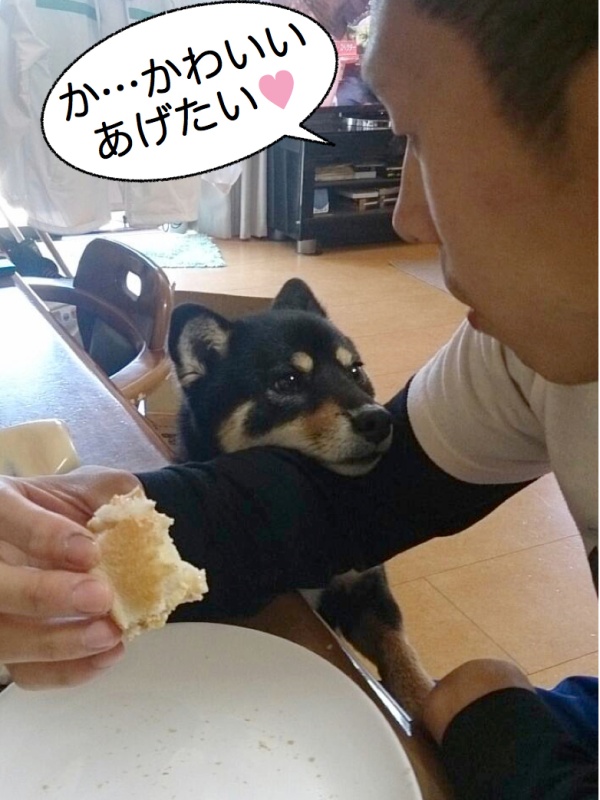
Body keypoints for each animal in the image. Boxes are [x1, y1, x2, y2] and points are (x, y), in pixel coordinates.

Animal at [168, 278, 433, 717]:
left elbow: (403, 656)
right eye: (287, 382)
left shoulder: (365, 589)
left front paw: (423, 699)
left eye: (355, 370)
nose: (379, 420)